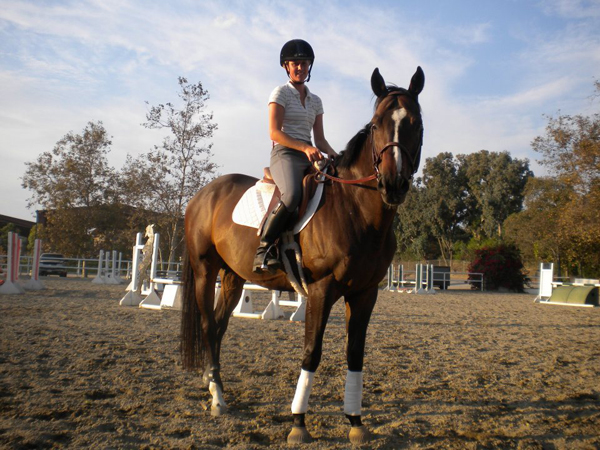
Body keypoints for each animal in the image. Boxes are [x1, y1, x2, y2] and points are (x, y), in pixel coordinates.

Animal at [180, 66, 424, 442]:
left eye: (416, 122)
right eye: (376, 124)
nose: (393, 184)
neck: (355, 209)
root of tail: (203, 194)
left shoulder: (365, 293)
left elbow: (355, 354)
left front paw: (355, 421)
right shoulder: (322, 290)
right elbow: (312, 353)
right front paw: (298, 423)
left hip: (233, 276)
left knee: (219, 327)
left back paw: (215, 386)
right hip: (206, 271)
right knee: (208, 326)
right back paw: (217, 400)